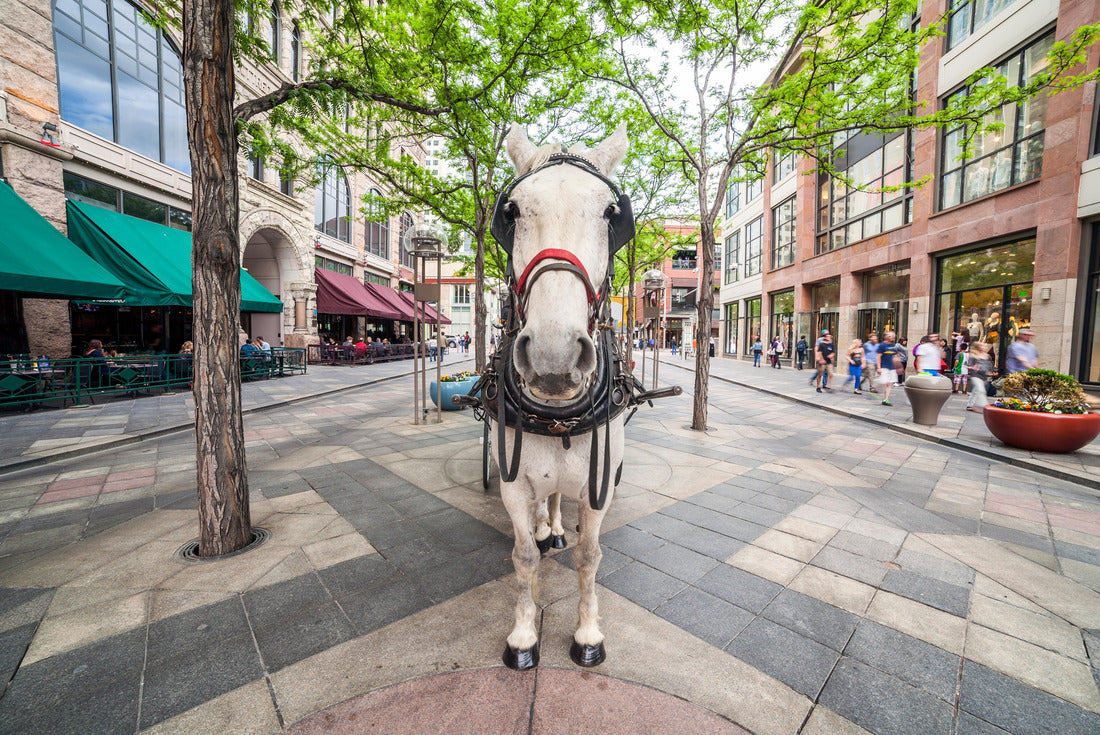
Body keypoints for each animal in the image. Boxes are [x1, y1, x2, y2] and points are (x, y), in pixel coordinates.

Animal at [462, 124, 680, 670]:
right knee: (547, 505)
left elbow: (588, 556)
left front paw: (587, 634)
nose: (553, 355)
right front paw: (522, 637)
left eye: (611, 214)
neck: (559, 416)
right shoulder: (513, 483)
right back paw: (547, 530)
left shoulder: (599, 482)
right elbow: (522, 556)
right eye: (512, 211)